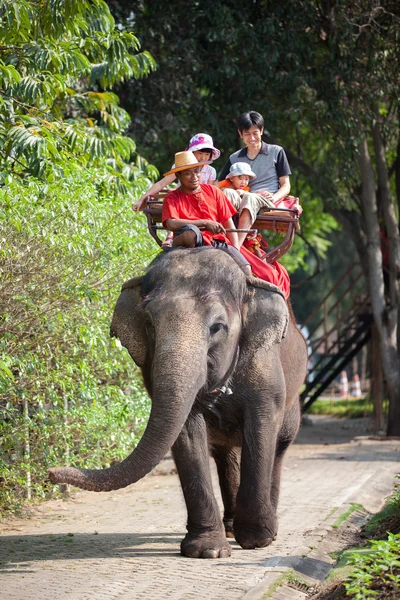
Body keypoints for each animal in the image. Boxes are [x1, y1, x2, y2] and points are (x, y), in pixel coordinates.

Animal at [48, 245, 308, 556]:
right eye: (150, 324)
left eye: (217, 327)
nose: (50, 473)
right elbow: (186, 430)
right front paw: (207, 551)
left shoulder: (264, 365)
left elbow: (261, 426)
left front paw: (257, 541)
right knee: (226, 453)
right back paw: (230, 528)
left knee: (278, 446)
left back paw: (267, 529)